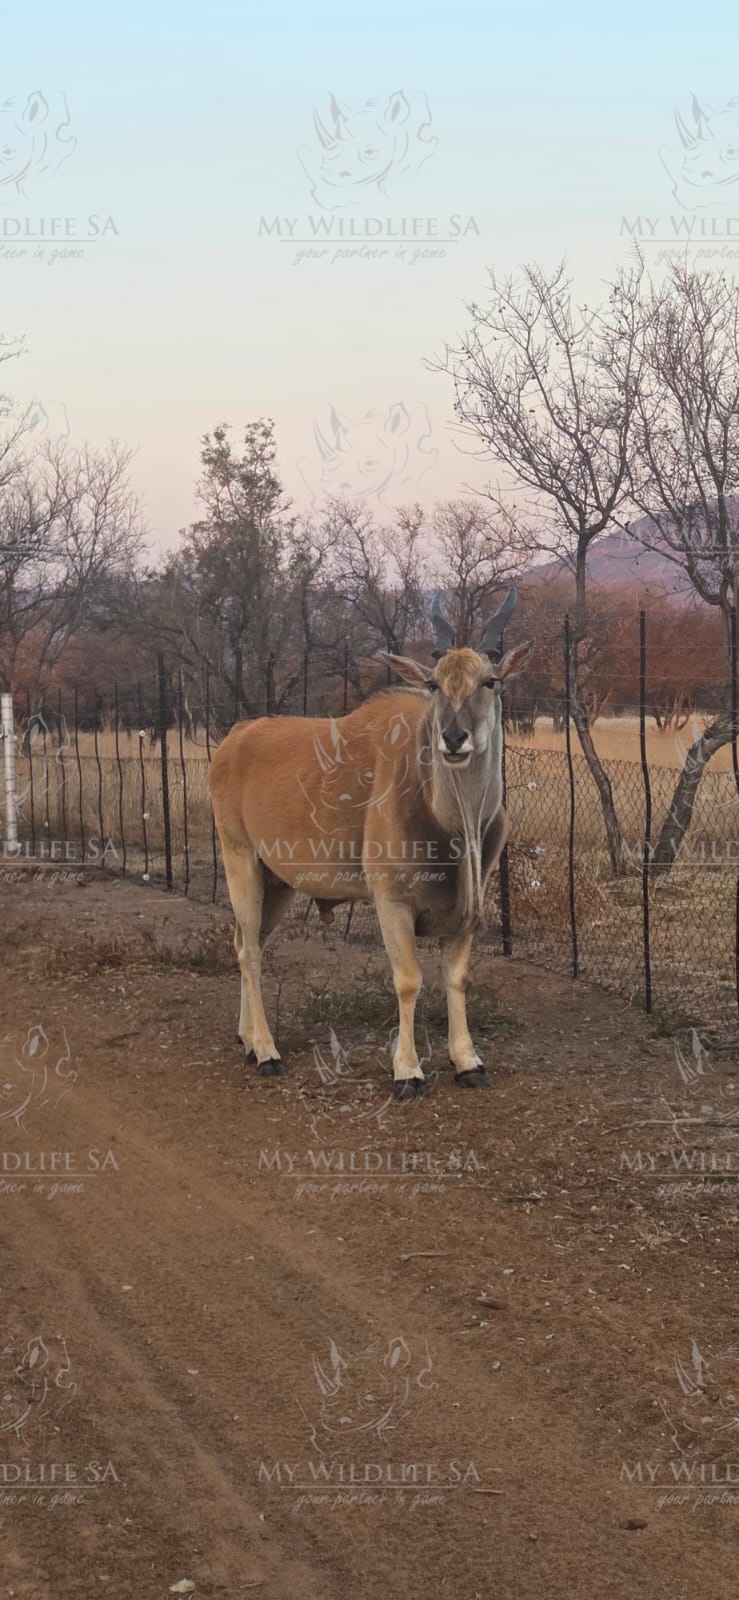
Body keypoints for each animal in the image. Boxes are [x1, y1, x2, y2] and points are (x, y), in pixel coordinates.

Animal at [209, 588, 533, 1099]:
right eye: (434, 685)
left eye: (491, 681)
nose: (454, 738)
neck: (451, 821)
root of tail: (232, 741)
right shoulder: (391, 902)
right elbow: (408, 980)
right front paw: (407, 1071)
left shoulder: (466, 913)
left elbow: (457, 978)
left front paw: (467, 1062)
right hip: (240, 859)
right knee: (250, 952)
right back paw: (266, 1052)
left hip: (276, 883)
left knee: (247, 940)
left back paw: (247, 1038)